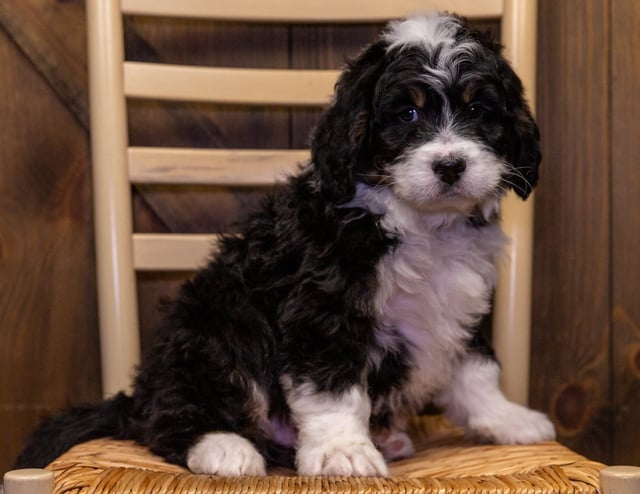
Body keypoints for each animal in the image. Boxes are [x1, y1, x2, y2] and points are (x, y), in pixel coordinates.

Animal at [15, 13, 556, 478]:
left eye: (479, 110)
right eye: (407, 114)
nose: (450, 166)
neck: (418, 223)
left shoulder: (459, 302)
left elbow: (476, 370)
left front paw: (507, 418)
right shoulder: (324, 308)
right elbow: (334, 388)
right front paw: (343, 451)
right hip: (215, 327)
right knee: (170, 416)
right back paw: (224, 447)